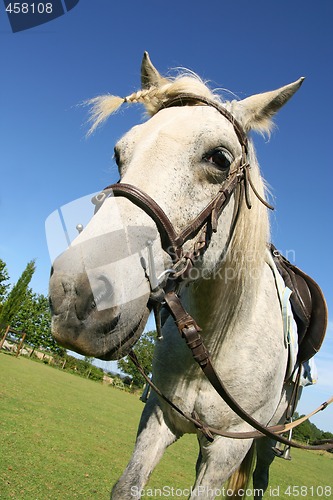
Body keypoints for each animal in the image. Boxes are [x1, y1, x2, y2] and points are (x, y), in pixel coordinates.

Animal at [49, 52, 306, 498]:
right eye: (119, 153)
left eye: (219, 158)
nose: (75, 296)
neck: (216, 341)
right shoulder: (158, 416)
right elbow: (128, 484)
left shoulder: (228, 449)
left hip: (268, 441)